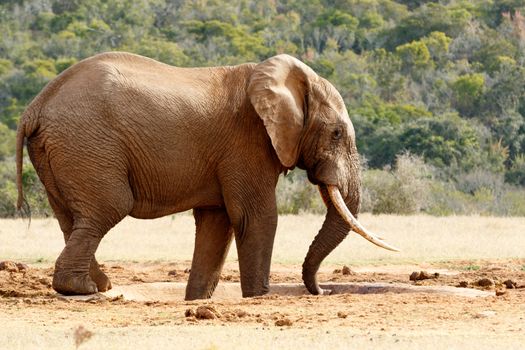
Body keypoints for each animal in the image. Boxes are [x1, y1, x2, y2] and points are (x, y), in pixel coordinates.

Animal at [14, 52, 396, 300]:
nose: (321, 290)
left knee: (72, 219)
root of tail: (35, 105)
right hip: (87, 143)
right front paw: (258, 297)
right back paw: (84, 290)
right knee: (108, 208)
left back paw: (100, 285)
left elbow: (217, 221)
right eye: (336, 134)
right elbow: (256, 216)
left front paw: (198, 300)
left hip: (63, 150)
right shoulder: (248, 142)